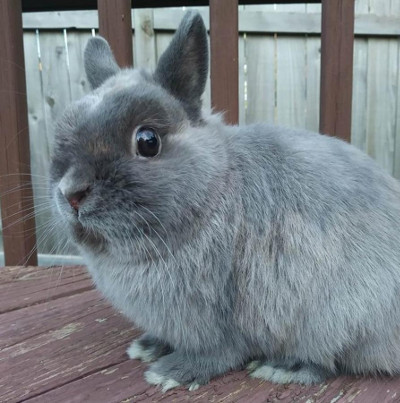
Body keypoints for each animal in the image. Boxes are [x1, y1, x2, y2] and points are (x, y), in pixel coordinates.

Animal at [50, 11, 400, 392]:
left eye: (147, 141)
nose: (71, 193)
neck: (214, 190)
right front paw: (149, 346)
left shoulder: (222, 315)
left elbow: (220, 351)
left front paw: (171, 372)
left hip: (337, 318)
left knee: (327, 359)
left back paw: (282, 367)